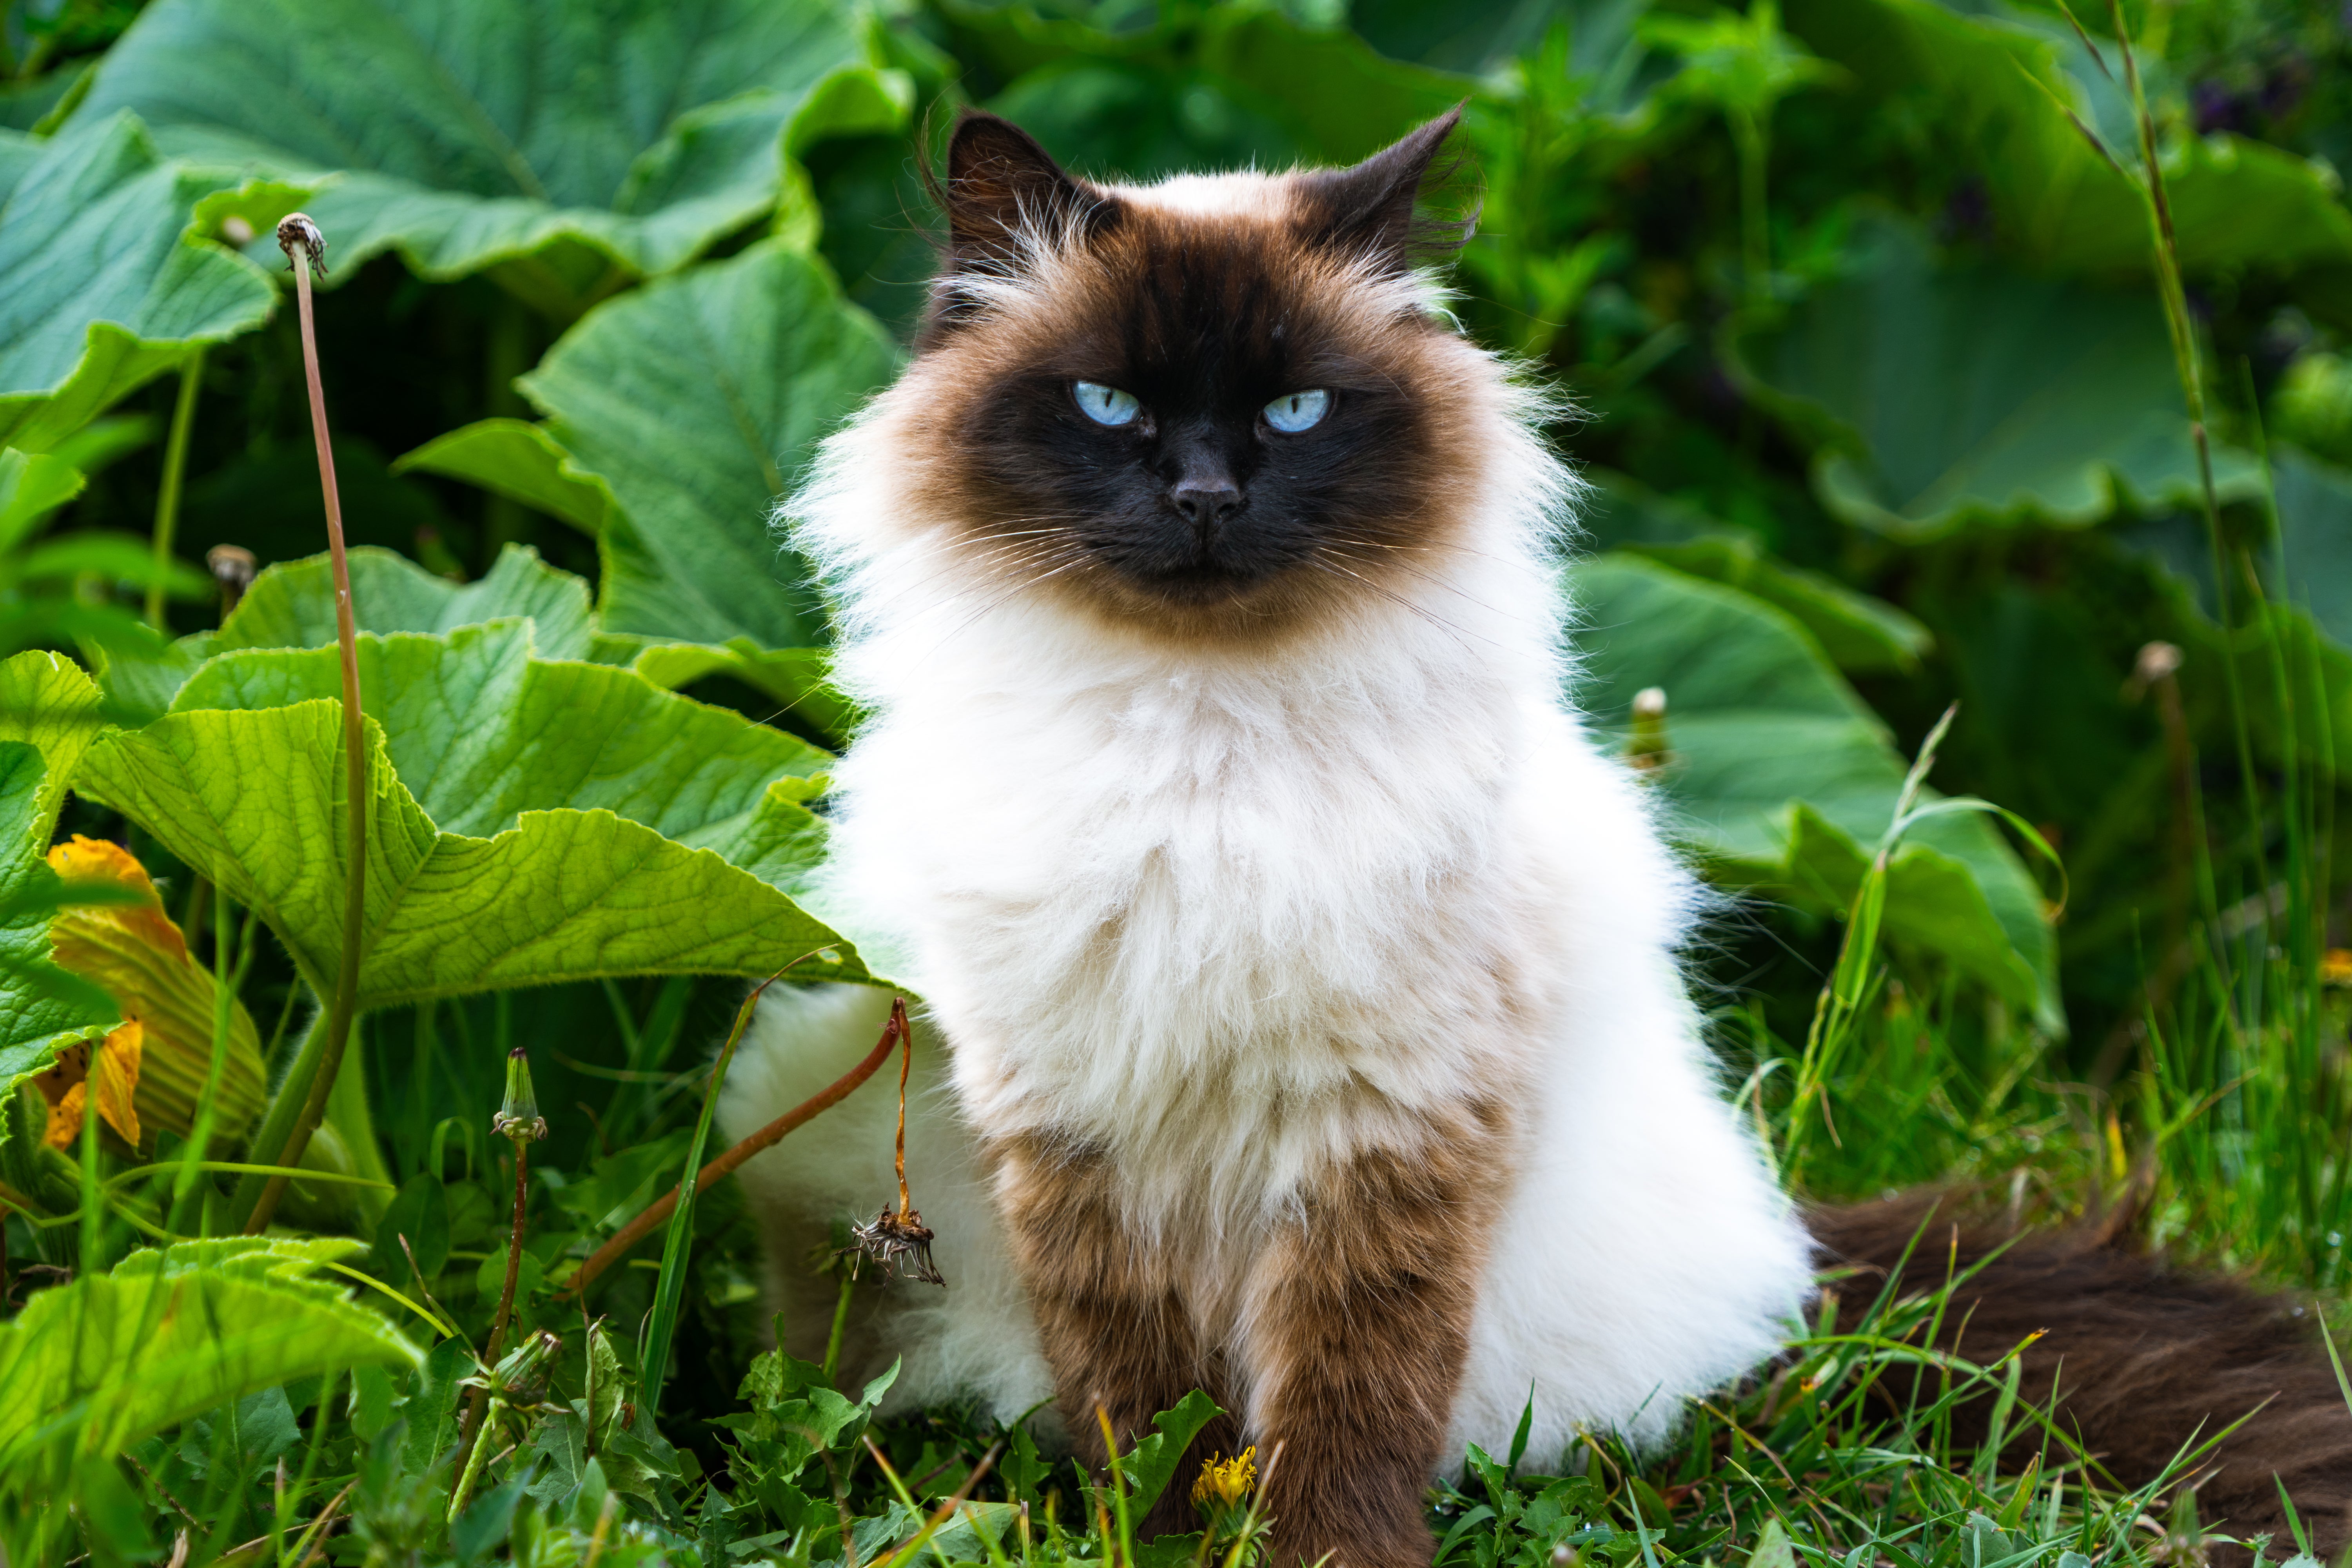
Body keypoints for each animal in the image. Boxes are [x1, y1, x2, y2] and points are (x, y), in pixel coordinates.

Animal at [720, 113, 2352, 1568]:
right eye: (1109, 406)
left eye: (1297, 413)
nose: (1203, 497)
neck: (1206, 746)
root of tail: (1787, 1247)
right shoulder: (1075, 1122)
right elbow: (1151, 1407)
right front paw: (1163, 1541)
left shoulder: (1392, 1121)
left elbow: (1347, 1402)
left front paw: (1324, 1552)